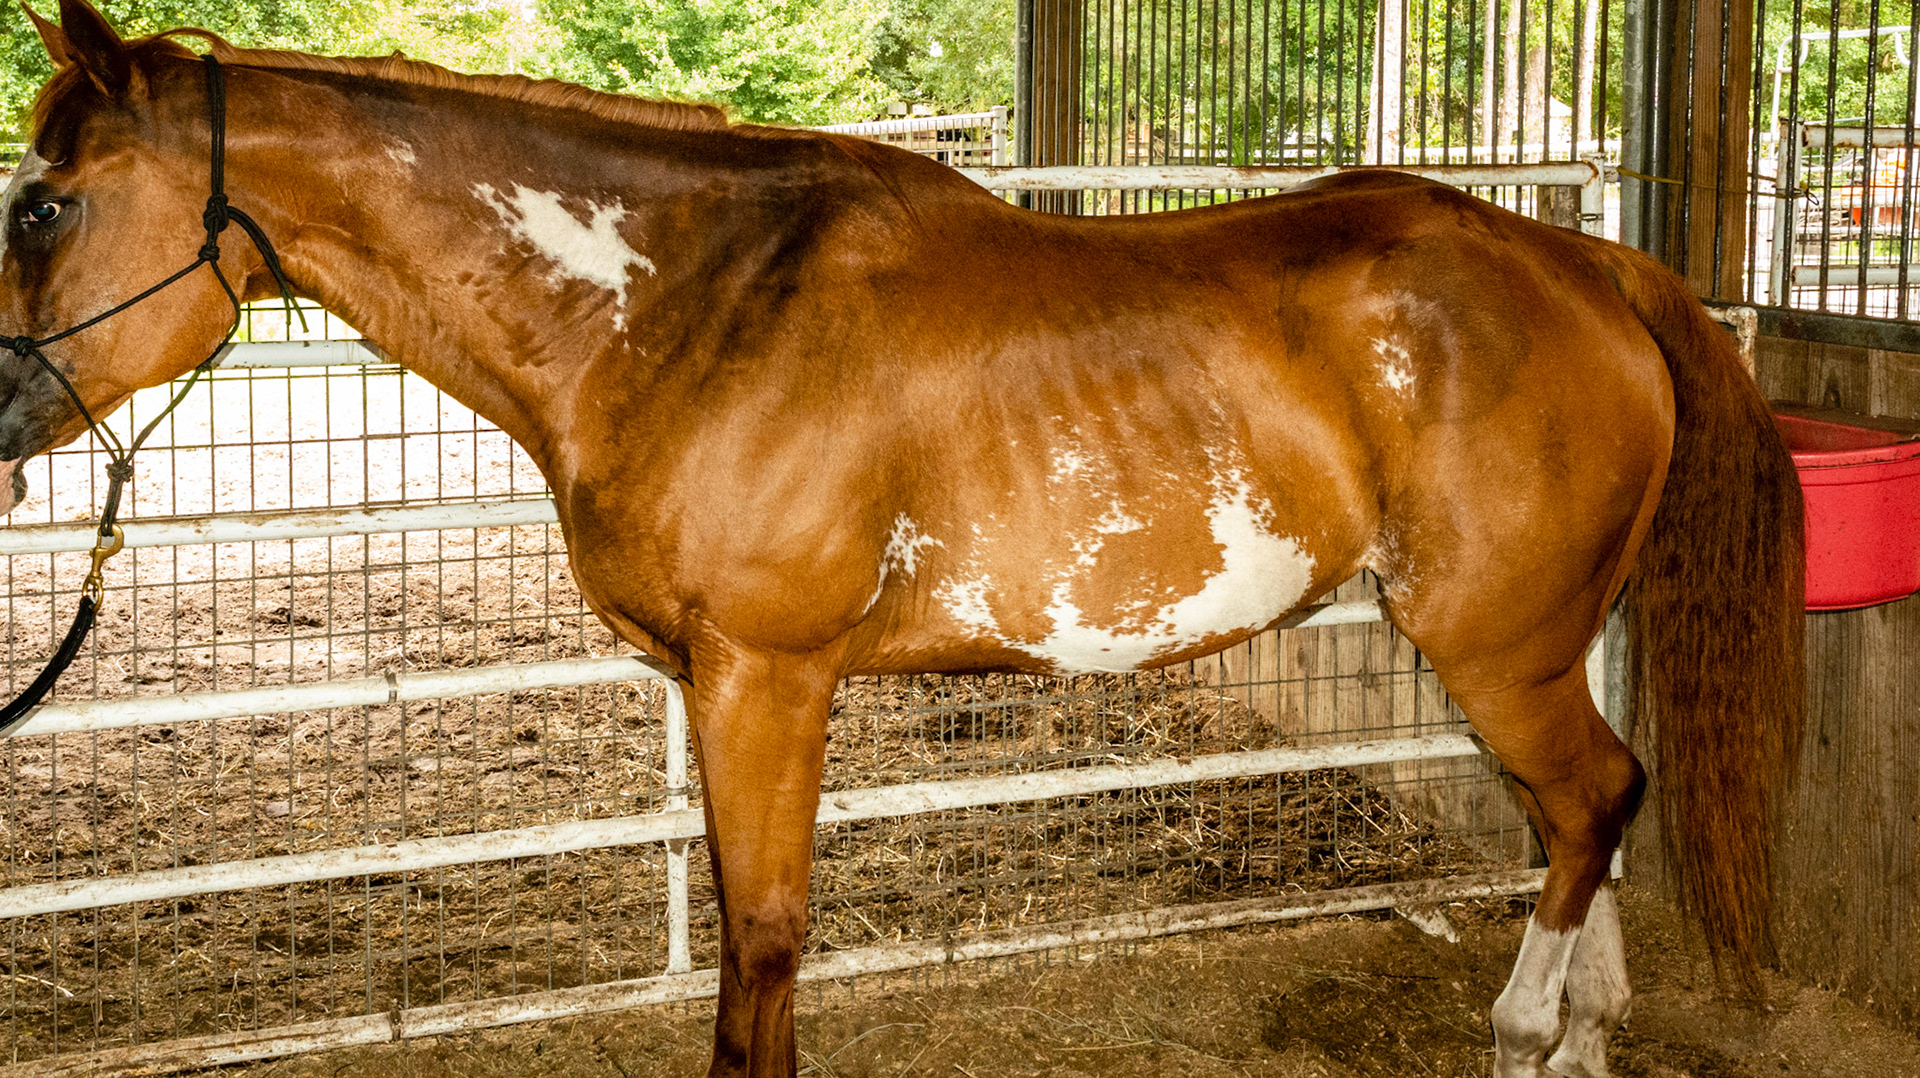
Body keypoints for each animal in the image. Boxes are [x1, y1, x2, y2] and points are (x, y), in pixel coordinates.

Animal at [1, 3, 1804, 1075]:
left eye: (41, 200)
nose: (2, 422)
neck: (683, 300)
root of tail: (1592, 268)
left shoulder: (768, 678)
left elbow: (767, 940)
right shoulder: (714, 685)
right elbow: (749, 938)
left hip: (1492, 642)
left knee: (1591, 797)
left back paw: (1528, 1026)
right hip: (1539, 638)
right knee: (1596, 800)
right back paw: (1592, 1024)